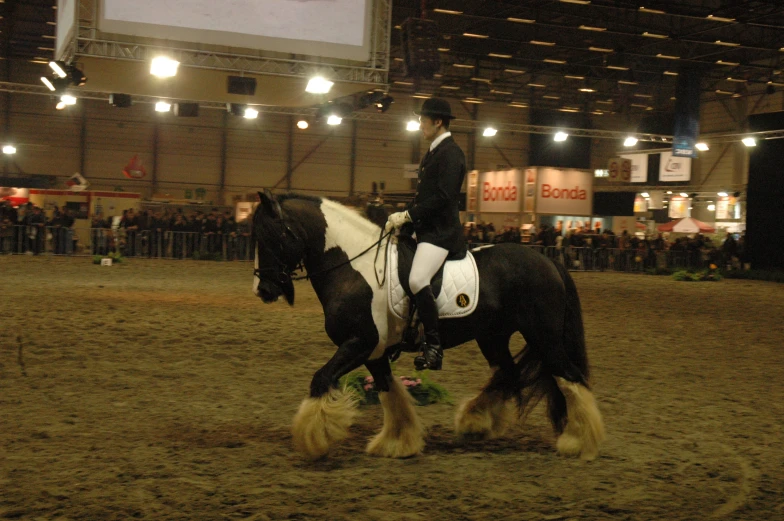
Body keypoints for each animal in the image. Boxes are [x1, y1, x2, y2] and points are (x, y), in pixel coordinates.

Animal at [253, 191, 608, 460]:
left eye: (271, 236)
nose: (263, 290)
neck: (355, 268)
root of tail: (549, 261)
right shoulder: (373, 352)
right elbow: (389, 393)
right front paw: (397, 442)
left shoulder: (359, 343)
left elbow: (321, 379)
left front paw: (313, 439)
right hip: (493, 337)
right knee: (509, 375)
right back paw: (475, 422)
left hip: (544, 337)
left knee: (571, 377)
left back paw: (578, 441)